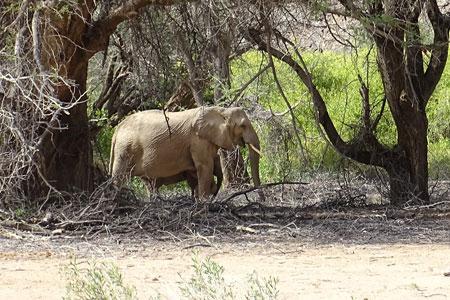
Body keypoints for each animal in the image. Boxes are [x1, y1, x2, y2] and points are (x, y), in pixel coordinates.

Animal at [109, 105, 262, 199]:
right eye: (243, 125)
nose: (262, 198)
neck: (221, 111)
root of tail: (117, 129)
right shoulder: (198, 140)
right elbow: (205, 167)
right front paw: (204, 203)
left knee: (148, 184)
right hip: (125, 148)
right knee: (120, 178)